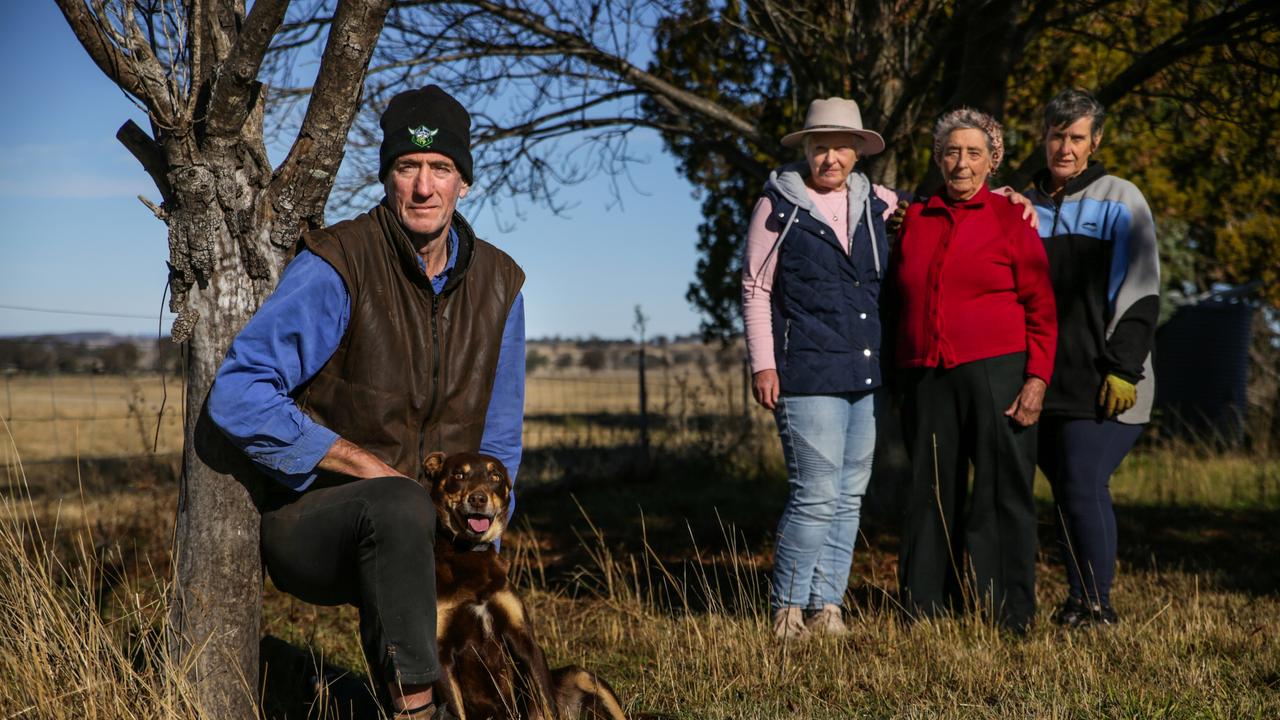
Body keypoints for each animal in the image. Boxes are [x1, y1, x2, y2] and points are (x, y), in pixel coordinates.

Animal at [424, 450, 629, 712]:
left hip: (583, 676)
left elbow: (548, 706)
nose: (478, 499)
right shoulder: (442, 656)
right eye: (459, 475)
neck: (469, 554)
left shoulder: (525, 640)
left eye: (495, 476)